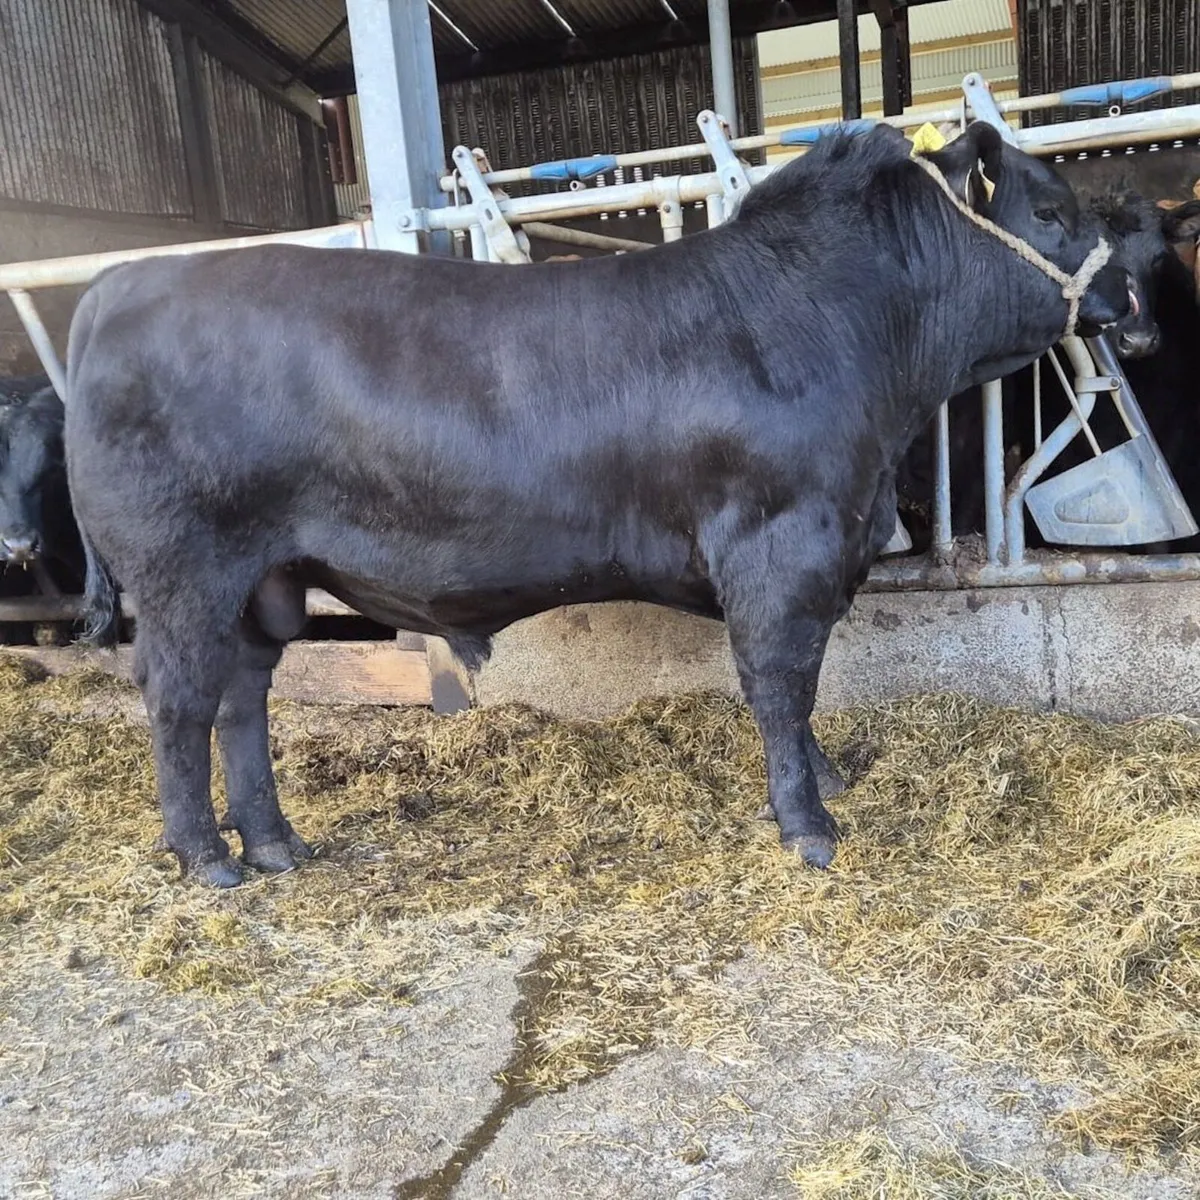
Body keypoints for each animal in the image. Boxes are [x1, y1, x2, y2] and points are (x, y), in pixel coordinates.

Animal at [63, 121, 1132, 887]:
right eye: (1051, 205)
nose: (1126, 288)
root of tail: (119, 284)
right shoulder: (782, 546)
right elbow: (782, 683)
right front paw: (810, 825)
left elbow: (801, 691)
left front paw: (823, 781)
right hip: (183, 572)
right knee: (179, 700)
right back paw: (209, 861)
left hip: (264, 579)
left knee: (242, 698)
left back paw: (277, 845)